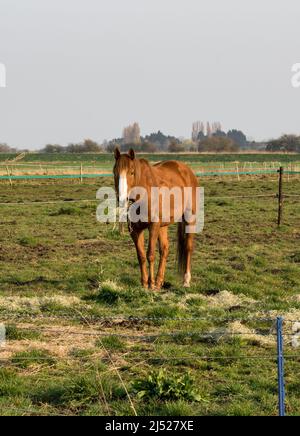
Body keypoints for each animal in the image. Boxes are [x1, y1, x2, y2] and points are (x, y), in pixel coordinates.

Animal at [113, 148, 199, 292]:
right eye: (115, 172)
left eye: (132, 172)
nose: (122, 199)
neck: (143, 195)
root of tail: (187, 171)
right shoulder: (135, 230)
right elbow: (141, 256)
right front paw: (144, 283)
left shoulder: (153, 226)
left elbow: (150, 255)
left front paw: (151, 284)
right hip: (163, 226)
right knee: (165, 250)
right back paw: (160, 281)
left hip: (189, 218)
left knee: (188, 247)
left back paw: (186, 280)